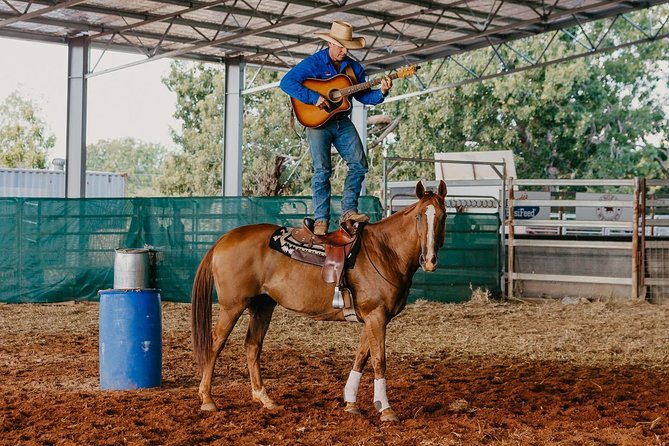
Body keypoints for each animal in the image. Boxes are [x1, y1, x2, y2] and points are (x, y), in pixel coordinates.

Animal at [190, 179, 446, 420]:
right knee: (215, 344)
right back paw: (207, 399)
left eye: (443, 216)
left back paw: (264, 398)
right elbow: (378, 360)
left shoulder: (373, 317)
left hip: (262, 305)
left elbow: (361, 357)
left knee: (253, 346)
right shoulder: (376, 315)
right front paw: (386, 409)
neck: (385, 251)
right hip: (232, 307)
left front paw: (351, 403)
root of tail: (223, 239)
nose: (430, 260)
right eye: (419, 216)